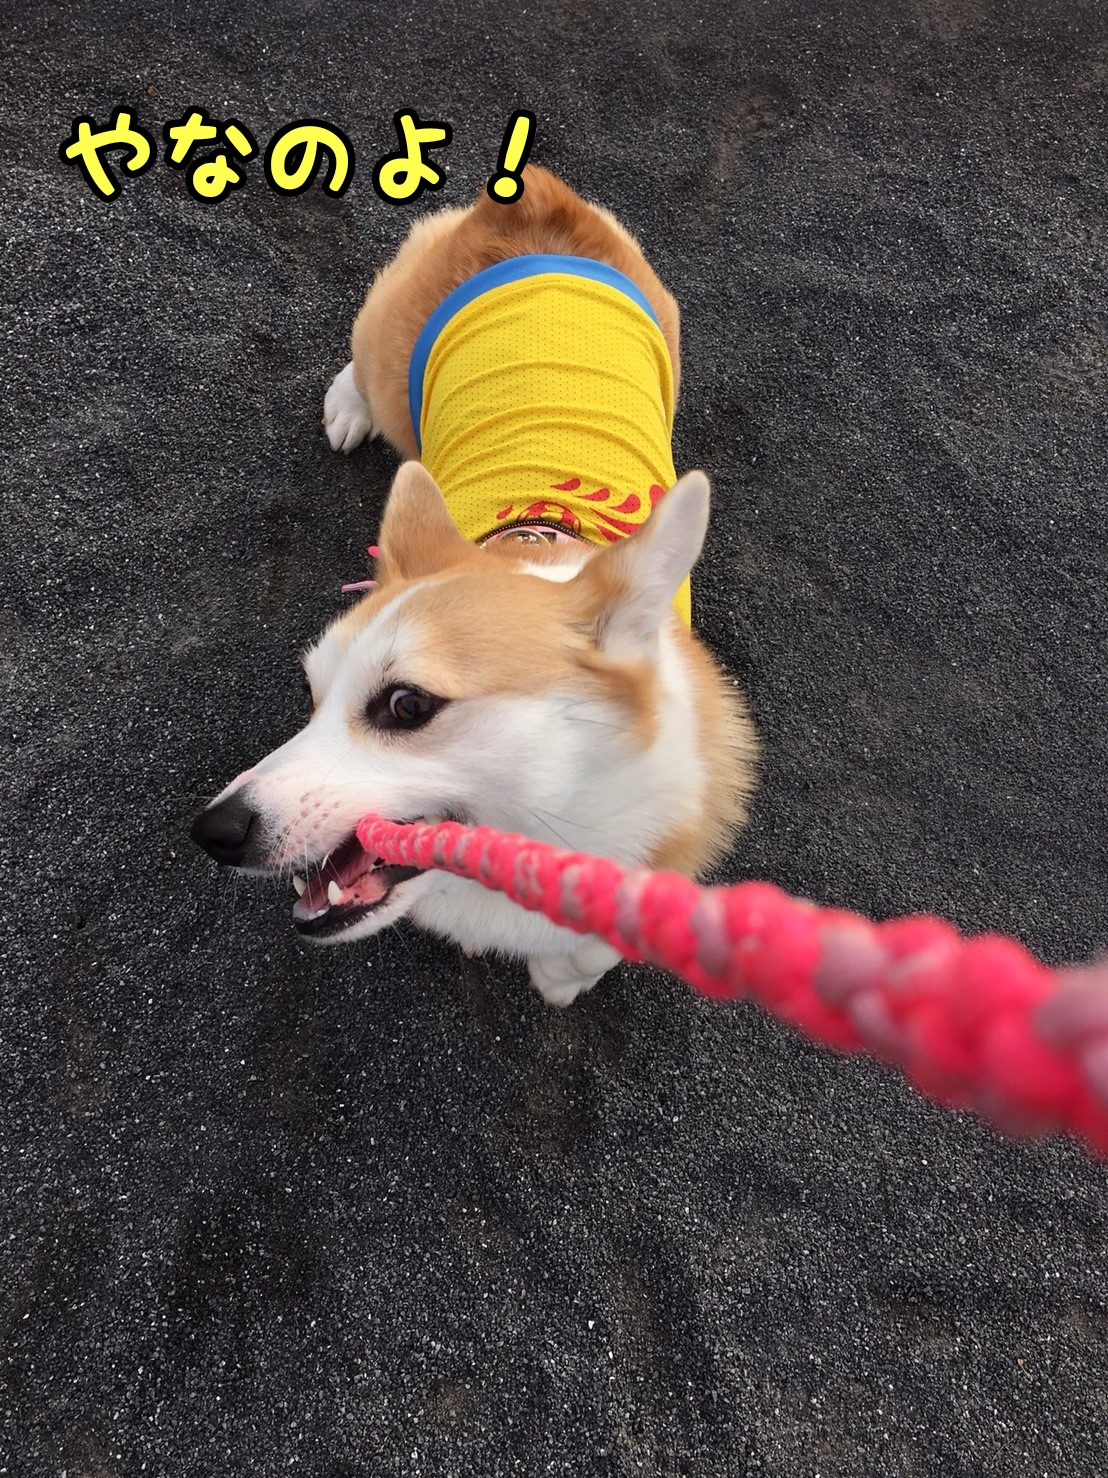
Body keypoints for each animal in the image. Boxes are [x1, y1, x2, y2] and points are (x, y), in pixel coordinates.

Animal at [191, 165, 757, 1005]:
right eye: (311, 695)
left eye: (405, 705)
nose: (214, 834)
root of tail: (533, 207)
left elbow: (592, 948)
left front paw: (562, 976)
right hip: (391, 358)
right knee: (361, 366)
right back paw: (348, 407)